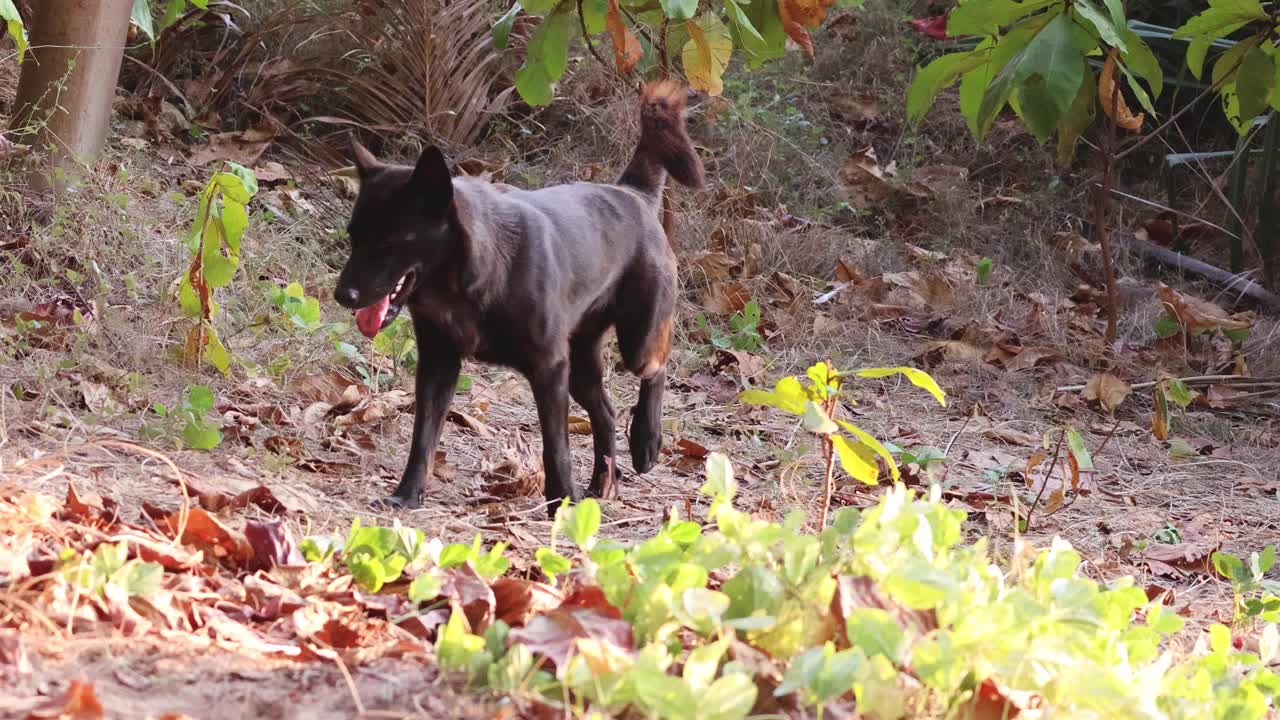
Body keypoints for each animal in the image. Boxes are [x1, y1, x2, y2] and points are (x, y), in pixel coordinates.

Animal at [335, 81, 706, 512]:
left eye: (390, 241)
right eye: (353, 237)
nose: (342, 295)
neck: (466, 280)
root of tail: (633, 192)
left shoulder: (549, 368)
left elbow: (556, 445)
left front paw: (562, 501)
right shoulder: (438, 364)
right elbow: (423, 437)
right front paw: (408, 494)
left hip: (636, 342)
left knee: (657, 369)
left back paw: (646, 441)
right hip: (581, 365)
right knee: (607, 412)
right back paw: (602, 483)